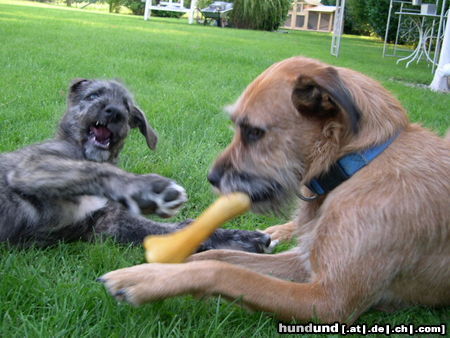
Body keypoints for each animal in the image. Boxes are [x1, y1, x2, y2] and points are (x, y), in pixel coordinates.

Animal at [0, 80, 270, 254]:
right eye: (93, 96)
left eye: (127, 106)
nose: (114, 112)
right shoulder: (30, 166)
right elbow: (91, 171)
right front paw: (146, 190)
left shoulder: (108, 224)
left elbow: (182, 228)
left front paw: (240, 238)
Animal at [99, 57, 450, 322]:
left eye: (253, 132)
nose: (212, 178)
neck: (358, 163)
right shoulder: (303, 264)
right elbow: (217, 255)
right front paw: (156, 267)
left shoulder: (331, 301)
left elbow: (224, 271)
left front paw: (146, 279)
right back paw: (278, 231)